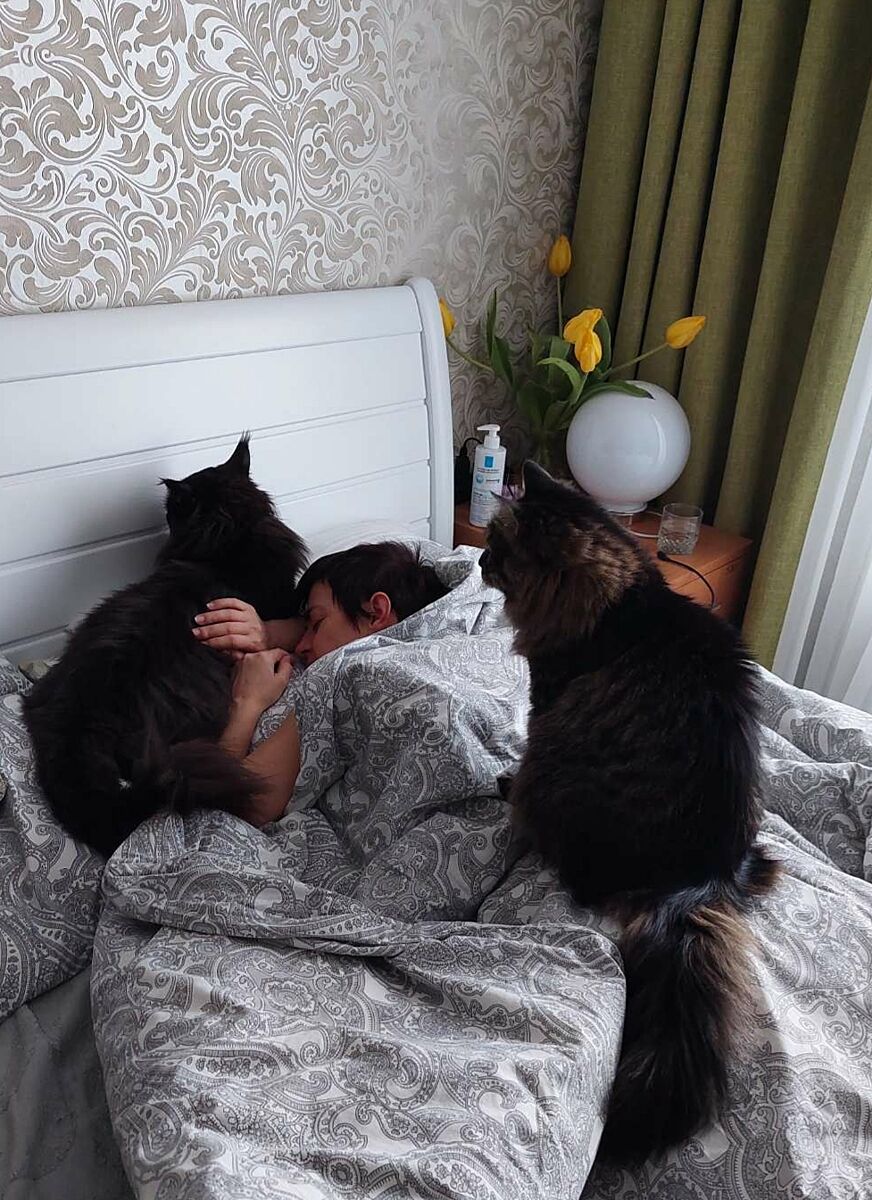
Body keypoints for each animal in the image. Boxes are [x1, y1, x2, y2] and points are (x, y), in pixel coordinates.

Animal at [480, 460, 777, 1165]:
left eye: (499, 548)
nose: (475, 558)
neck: (624, 606)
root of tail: (699, 878)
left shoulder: (546, 700)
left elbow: (519, 750)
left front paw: (500, 779)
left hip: (555, 774)